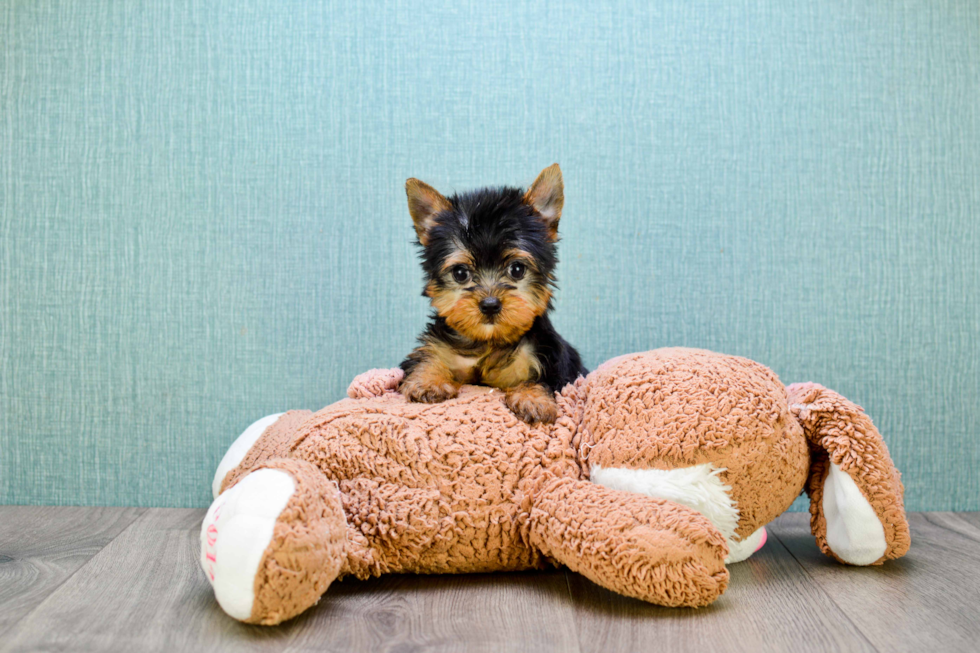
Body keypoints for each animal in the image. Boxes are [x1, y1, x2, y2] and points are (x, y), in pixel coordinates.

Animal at [400, 164, 584, 422]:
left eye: (517, 269)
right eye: (460, 273)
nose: (489, 304)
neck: (488, 342)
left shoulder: (550, 359)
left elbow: (542, 380)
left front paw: (533, 400)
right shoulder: (440, 346)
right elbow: (426, 358)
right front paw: (427, 382)